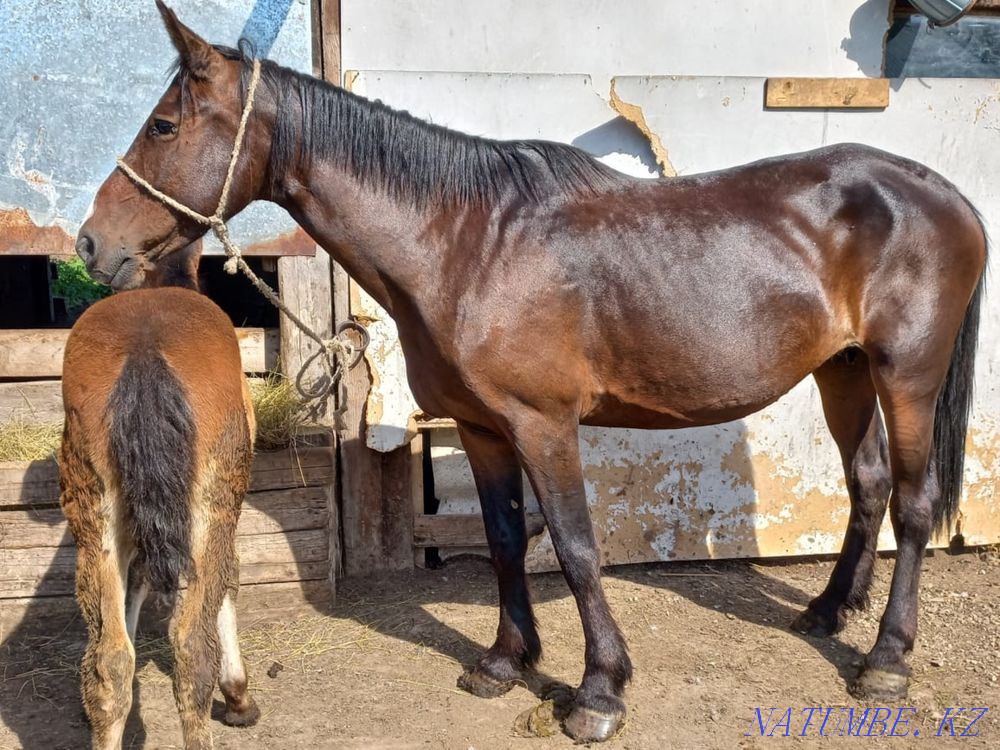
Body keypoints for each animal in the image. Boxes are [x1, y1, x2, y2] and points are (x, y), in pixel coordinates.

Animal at [59, 243, 260, 749]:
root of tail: (144, 349)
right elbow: (229, 581)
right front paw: (239, 697)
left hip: (95, 514)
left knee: (109, 662)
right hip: (211, 504)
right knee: (191, 650)